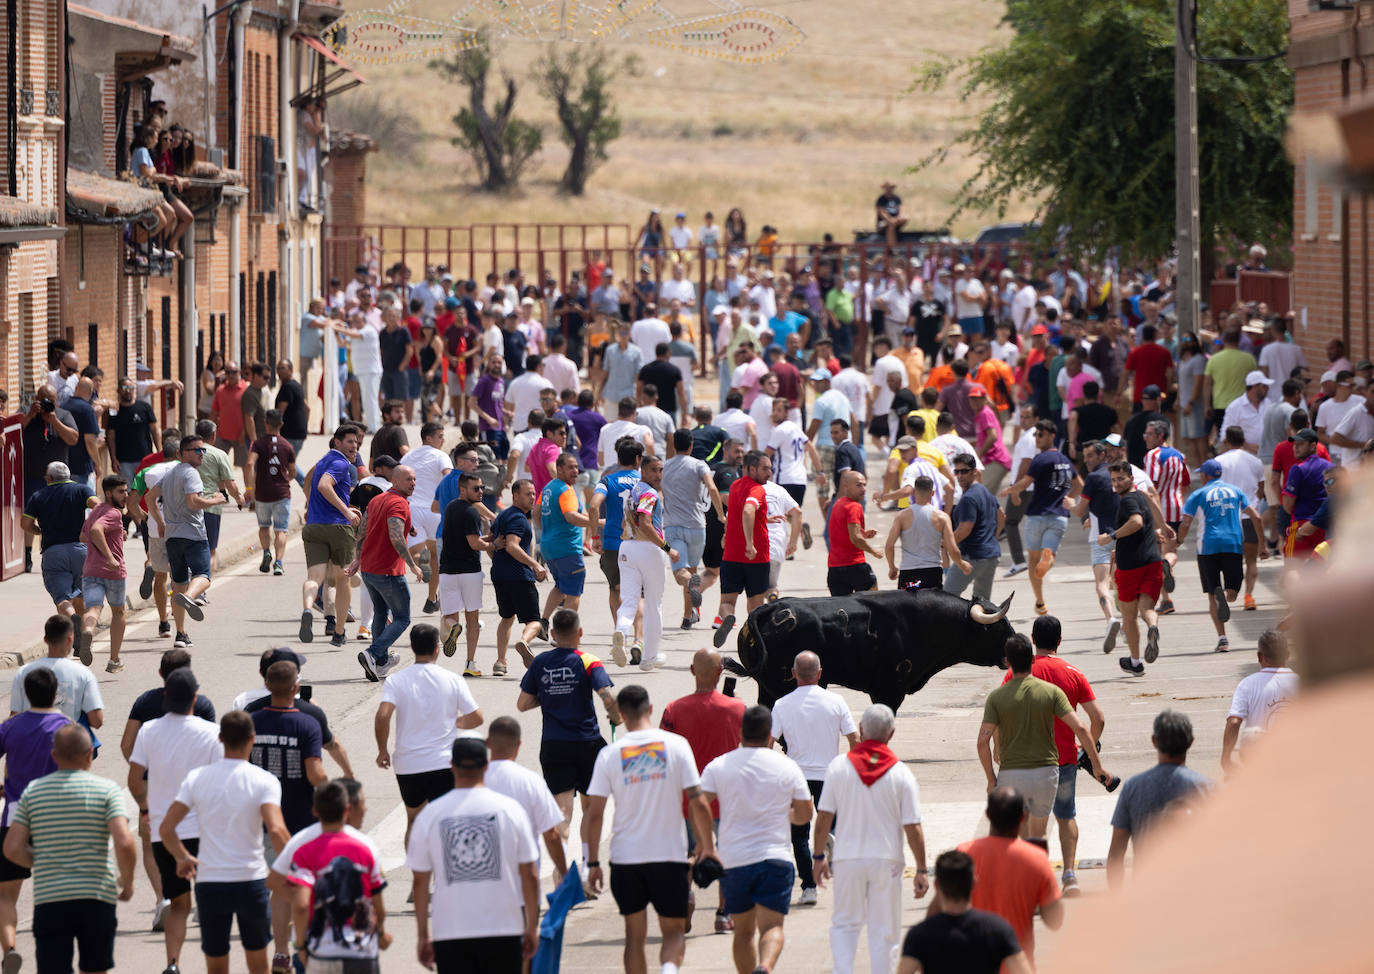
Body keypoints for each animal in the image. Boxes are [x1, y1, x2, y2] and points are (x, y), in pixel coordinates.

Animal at [725, 587, 1016, 708]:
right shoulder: (888, 689)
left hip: (767, 687)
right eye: (999, 627)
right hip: (784, 685)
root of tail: (770, 608)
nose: (1018, 646)